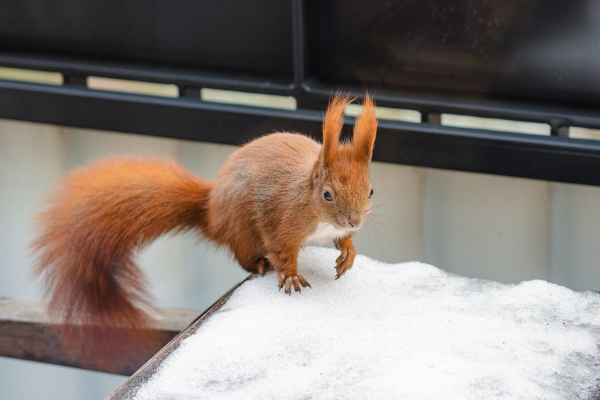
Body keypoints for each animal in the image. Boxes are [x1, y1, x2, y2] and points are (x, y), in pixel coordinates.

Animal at [30, 92, 378, 370]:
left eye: (371, 190)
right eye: (327, 195)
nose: (354, 221)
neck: (317, 213)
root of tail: (210, 211)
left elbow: (343, 243)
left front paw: (348, 253)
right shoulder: (281, 219)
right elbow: (281, 249)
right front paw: (291, 276)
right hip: (241, 228)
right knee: (243, 254)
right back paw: (258, 264)